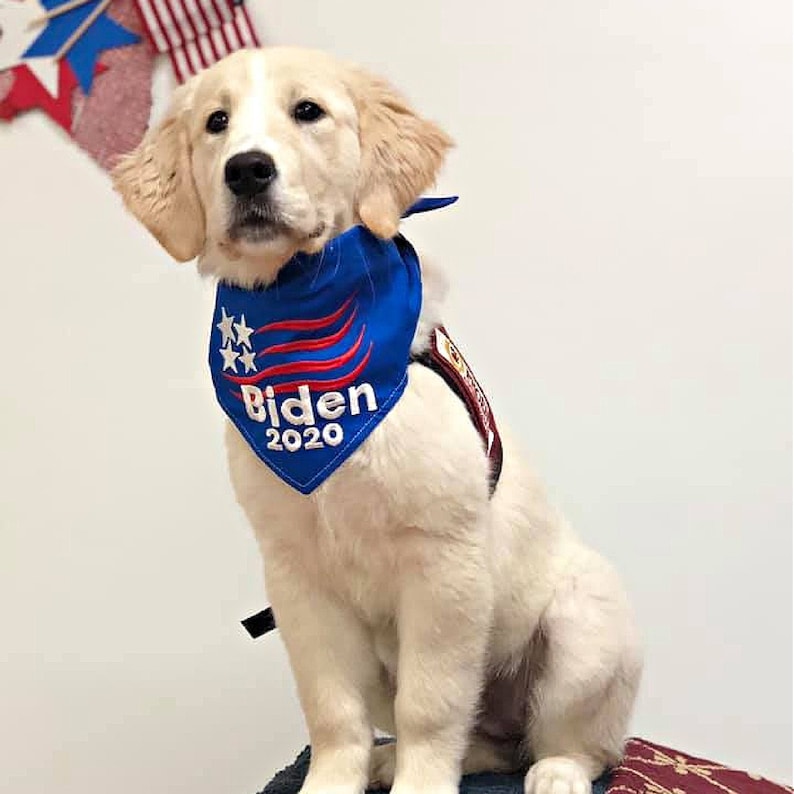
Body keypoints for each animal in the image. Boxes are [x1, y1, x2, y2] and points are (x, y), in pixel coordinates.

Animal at [114, 44, 640, 794]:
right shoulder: (297, 578)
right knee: (487, 740)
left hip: (582, 625)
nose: (247, 169)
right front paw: (333, 781)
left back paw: (558, 771)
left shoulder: (442, 567)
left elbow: (432, 704)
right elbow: (331, 708)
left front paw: (422, 783)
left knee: (576, 740)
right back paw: (395, 761)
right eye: (216, 122)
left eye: (308, 111)